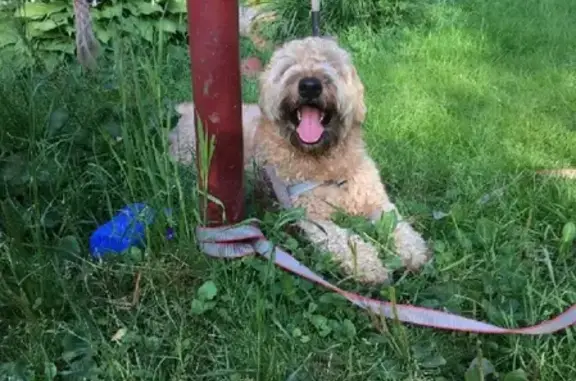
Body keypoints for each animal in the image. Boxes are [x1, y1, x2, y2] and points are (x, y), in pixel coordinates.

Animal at [169, 37, 430, 284]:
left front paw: (413, 251)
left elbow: (397, 224)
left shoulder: (375, 200)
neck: (327, 167)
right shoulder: (311, 217)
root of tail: (186, 111)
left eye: (331, 63)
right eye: (288, 67)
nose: (310, 85)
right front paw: (368, 266)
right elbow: (345, 240)